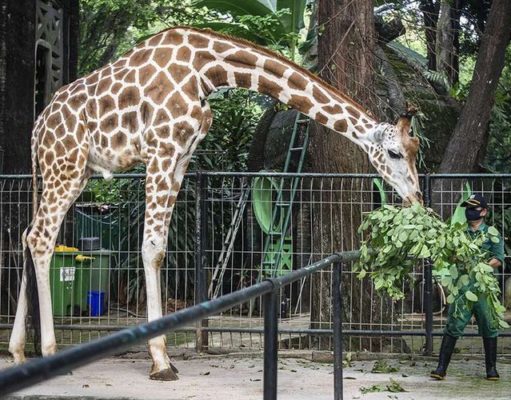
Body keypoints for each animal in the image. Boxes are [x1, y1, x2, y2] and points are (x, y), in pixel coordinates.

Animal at [10, 25, 422, 382]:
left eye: (416, 151)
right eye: (394, 152)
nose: (416, 197)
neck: (207, 69)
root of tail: (36, 130)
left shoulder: (182, 157)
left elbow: (160, 249)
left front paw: (162, 357)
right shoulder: (161, 150)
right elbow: (152, 247)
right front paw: (161, 361)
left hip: (70, 173)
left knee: (29, 235)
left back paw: (18, 351)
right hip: (65, 167)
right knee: (42, 238)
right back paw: (48, 353)